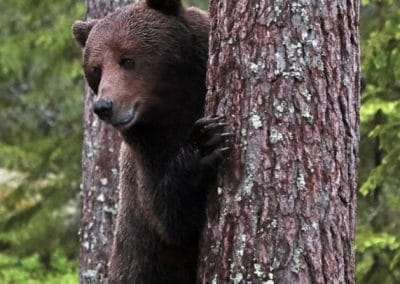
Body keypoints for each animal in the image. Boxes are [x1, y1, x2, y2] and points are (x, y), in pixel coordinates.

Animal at [72, 1, 231, 282]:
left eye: (127, 59)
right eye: (96, 68)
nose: (104, 106)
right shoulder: (149, 149)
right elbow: (171, 218)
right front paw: (204, 144)